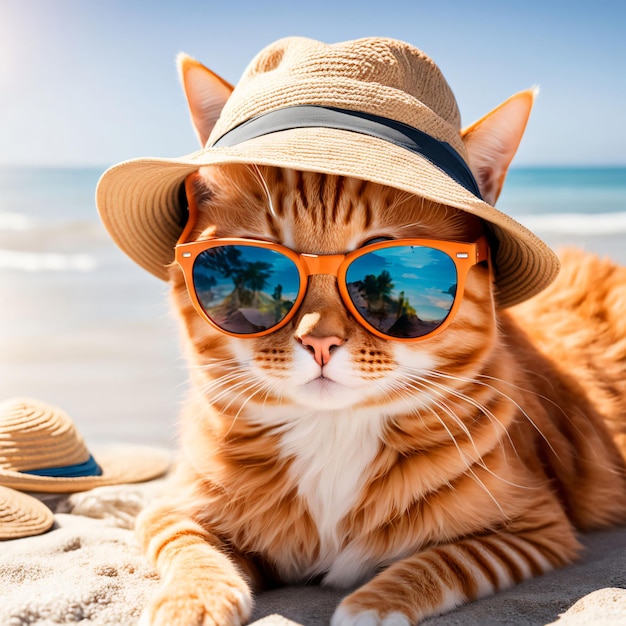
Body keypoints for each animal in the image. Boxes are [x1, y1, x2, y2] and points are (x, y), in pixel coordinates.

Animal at [133, 45, 626, 624]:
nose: (319, 342)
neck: (330, 433)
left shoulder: (535, 526)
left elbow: (446, 560)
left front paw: (374, 602)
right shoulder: (172, 509)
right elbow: (192, 549)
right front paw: (193, 602)